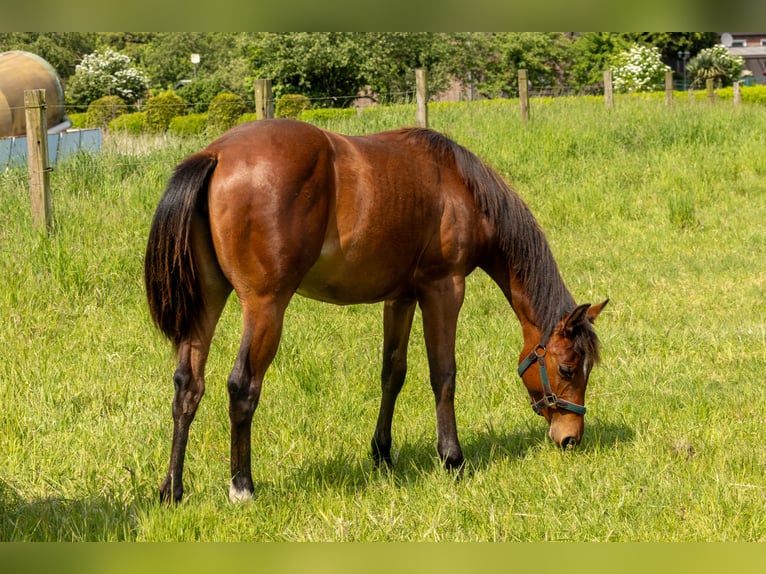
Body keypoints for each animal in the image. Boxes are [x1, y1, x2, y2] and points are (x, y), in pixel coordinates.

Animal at [144, 118, 608, 504]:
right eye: (567, 368)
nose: (571, 438)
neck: (458, 187)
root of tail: (217, 154)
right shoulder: (444, 289)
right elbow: (443, 375)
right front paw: (452, 459)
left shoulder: (400, 297)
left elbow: (393, 373)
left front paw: (382, 454)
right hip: (264, 305)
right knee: (242, 387)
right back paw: (242, 487)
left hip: (208, 299)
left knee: (188, 386)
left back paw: (172, 490)